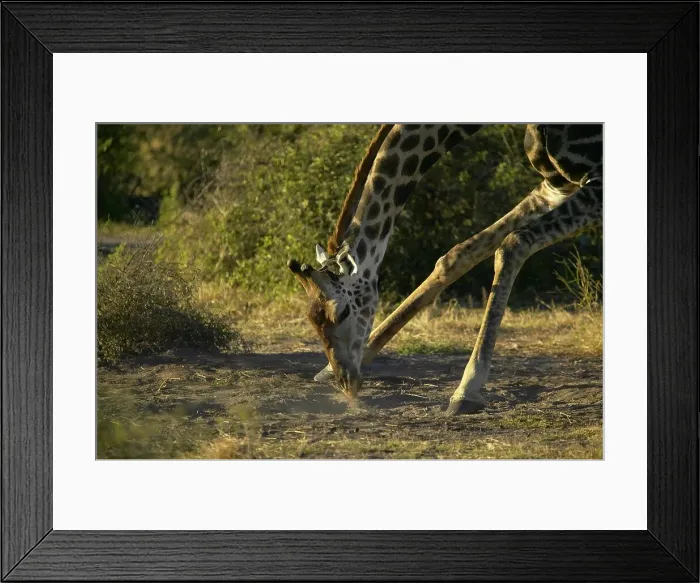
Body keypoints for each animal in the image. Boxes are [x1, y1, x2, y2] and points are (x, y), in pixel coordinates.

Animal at [287, 124, 602, 414]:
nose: (347, 382)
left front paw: (467, 389)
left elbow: (513, 244)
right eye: (311, 320)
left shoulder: (597, 186)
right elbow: (457, 255)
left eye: (342, 312)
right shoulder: (556, 186)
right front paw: (334, 367)